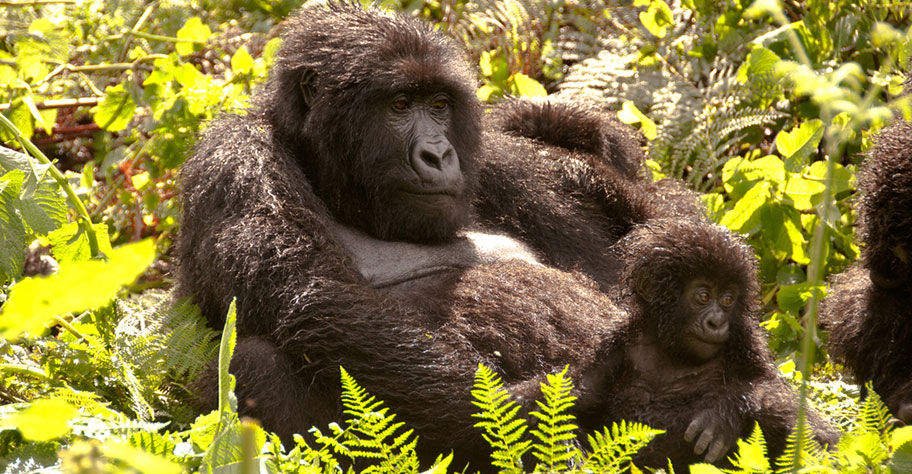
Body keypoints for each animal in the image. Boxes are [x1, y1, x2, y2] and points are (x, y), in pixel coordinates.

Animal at [180, 0, 700, 466]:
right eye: (400, 105)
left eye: (440, 105)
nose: (438, 154)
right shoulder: (236, 159)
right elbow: (319, 305)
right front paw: (539, 404)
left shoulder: (498, 161)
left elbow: (630, 258)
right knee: (252, 361)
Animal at [576, 219, 840, 470]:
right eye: (703, 296)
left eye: (727, 299)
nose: (717, 322)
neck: (670, 347)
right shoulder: (613, 345)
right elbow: (575, 407)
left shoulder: (745, 339)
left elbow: (769, 388)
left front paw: (724, 413)